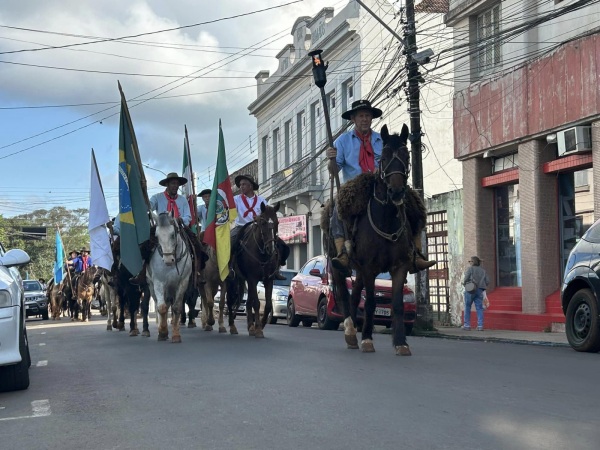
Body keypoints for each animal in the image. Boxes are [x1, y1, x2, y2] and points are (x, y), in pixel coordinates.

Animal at [147, 213, 192, 342]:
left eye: (172, 234)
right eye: (156, 235)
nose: (168, 259)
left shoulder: (183, 282)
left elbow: (176, 307)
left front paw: (176, 335)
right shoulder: (158, 283)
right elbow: (161, 307)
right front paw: (162, 332)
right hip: (152, 286)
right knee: (160, 305)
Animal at [227, 203, 282, 338]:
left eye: (277, 222)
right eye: (262, 222)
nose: (270, 248)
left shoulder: (268, 280)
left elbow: (267, 305)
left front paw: (260, 325)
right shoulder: (252, 278)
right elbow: (256, 303)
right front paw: (258, 329)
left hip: (243, 280)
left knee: (245, 300)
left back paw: (250, 326)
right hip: (231, 281)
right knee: (230, 300)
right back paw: (232, 325)